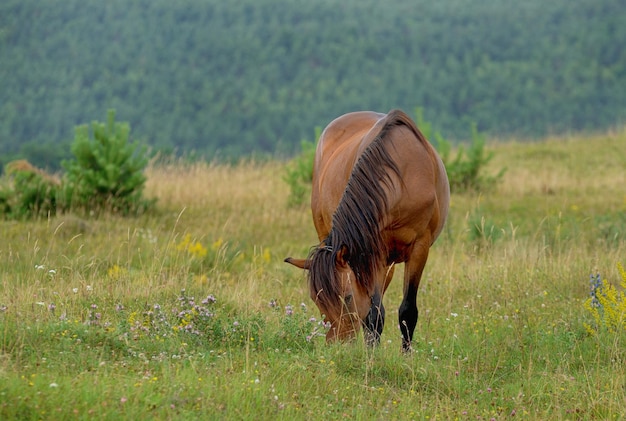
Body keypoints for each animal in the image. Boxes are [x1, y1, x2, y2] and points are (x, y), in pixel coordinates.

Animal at [286, 108, 446, 352]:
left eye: (347, 297)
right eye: (315, 299)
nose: (336, 345)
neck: (403, 176)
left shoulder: (420, 247)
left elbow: (407, 311)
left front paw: (405, 356)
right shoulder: (374, 253)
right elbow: (374, 313)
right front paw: (372, 354)